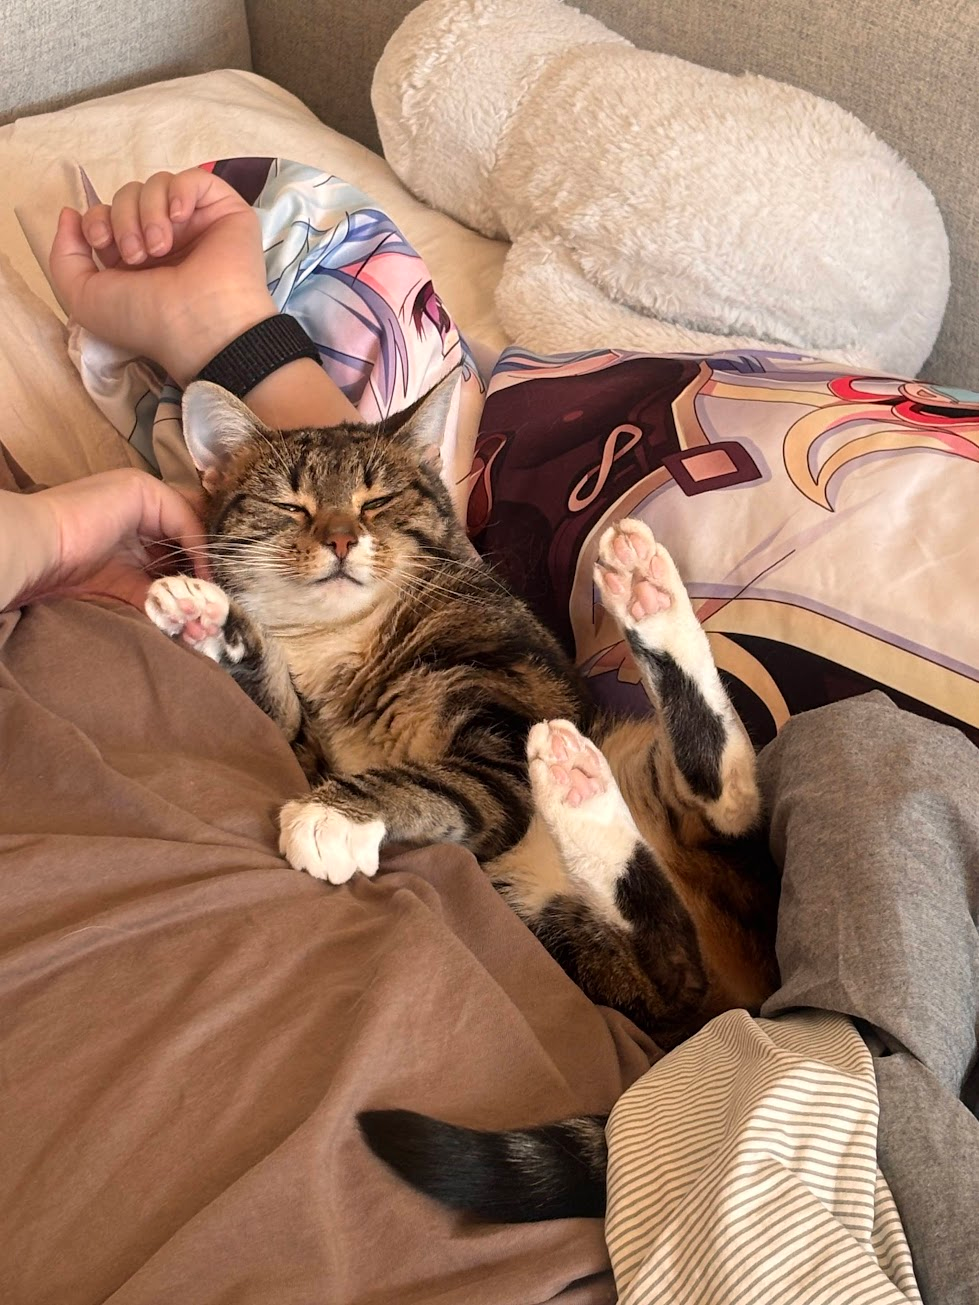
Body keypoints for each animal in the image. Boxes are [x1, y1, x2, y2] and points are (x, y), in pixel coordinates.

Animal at [145, 372, 779, 1048]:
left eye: (377, 500)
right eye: (293, 505)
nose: (342, 538)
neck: (340, 638)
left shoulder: (508, 726)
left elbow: (443, 781)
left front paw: (333, 813)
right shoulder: (303, 743)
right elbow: (275, 705)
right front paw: (206, 619)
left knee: (688, 939)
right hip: (568, 913)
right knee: (715, 828)